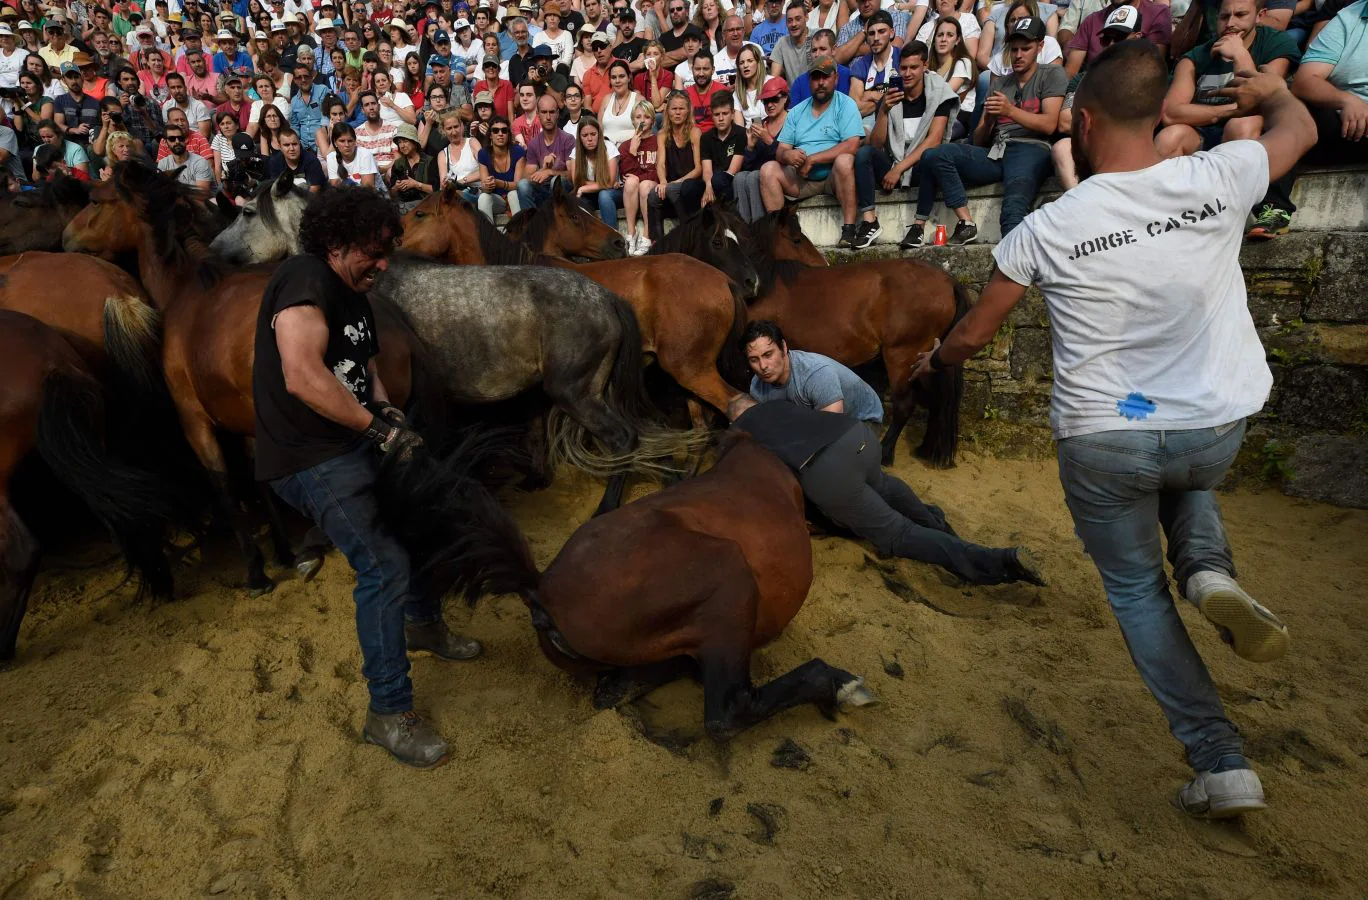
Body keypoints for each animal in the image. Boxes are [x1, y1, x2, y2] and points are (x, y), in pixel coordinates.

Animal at [744, 206, 968, 465]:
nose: (823, 264)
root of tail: (948, 280)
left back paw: (886, 453)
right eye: (797, 239)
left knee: (906, 405)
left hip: (903, 357)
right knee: (936, 400)